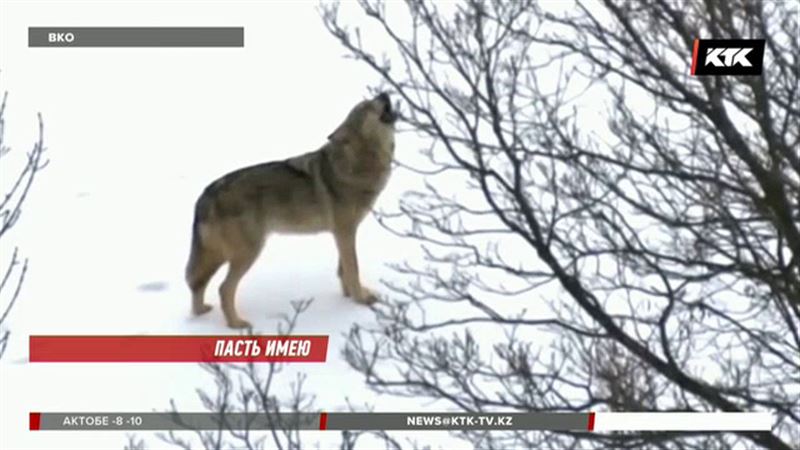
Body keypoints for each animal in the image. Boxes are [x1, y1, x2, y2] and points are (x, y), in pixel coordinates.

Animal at [184, 93, 396, 328]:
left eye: (373, 99)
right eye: (366, 106)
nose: (384, 93)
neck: (358, 162)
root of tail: (206, 193)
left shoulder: (344, 232)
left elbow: (344, 270)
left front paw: (350, 296)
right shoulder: (344, 231)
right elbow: (353, 269)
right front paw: (359, 301)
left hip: (219, 255)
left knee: (197, 283)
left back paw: (201, 314)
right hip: (246, 253)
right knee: (223, 288)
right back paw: (237, 324)